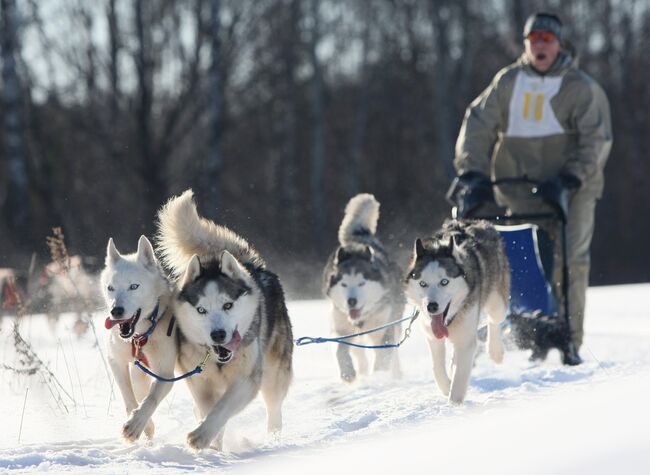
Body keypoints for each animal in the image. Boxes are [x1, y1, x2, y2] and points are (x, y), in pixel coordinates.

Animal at [99, 237, 176, 442]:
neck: (138, 337)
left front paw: (135, 425)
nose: (116, 311)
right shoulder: (116, 361)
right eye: (110, 288)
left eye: (134, 286)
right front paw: (143, 425)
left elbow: (150, 399)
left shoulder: (165, 373)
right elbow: (129, 398)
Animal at [156, 190, 292, 450]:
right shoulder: (200, 383)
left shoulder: (246, 380)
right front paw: (212, 444)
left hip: (274, 373)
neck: (219, 361)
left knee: (274, 407)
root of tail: (251, 266)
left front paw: (201, 436)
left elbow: (222, 410)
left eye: (227, 305)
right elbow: (209, 409)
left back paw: (274, 437)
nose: (218, 334)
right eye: (201, 310)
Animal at [324, 193, 404, 384]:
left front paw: (380, 372)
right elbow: (340, 350)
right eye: (344, 284)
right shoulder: (341, 329)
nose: (351, 301)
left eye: (362, 283)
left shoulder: (385, 325)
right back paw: (362, 371)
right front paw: (348, 372)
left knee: (393, 353)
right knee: (359, 353)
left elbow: (384, 352)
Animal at [402, 221, 508, 404]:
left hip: (497, 304)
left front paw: (454, 405)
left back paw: (495, 351)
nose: (431, 306)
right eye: (422, 283)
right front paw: (446, 386)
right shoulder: (432, 337)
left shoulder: (466, 341)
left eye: (444, 282)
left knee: (494, 320)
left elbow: (459, 380)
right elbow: (437, 368)